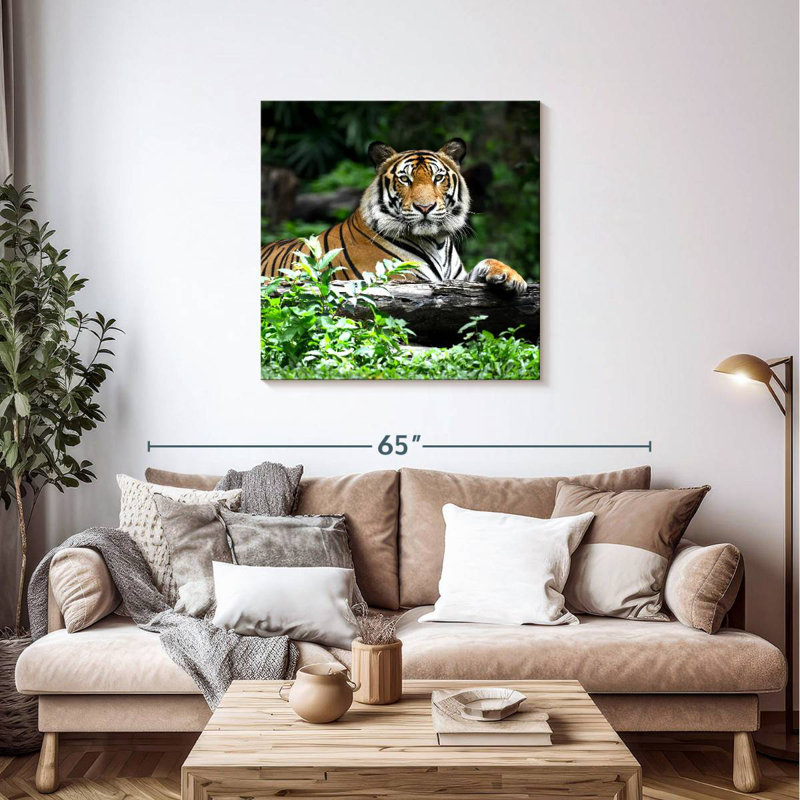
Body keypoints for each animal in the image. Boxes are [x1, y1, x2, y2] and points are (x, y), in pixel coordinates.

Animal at [260, 138, 527, 295]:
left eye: (438, 178)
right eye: (405, 179)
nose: (425, 207)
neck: (437, 241)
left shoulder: (456, 278)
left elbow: (487, 262)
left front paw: (511, 277)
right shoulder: (400, 278)